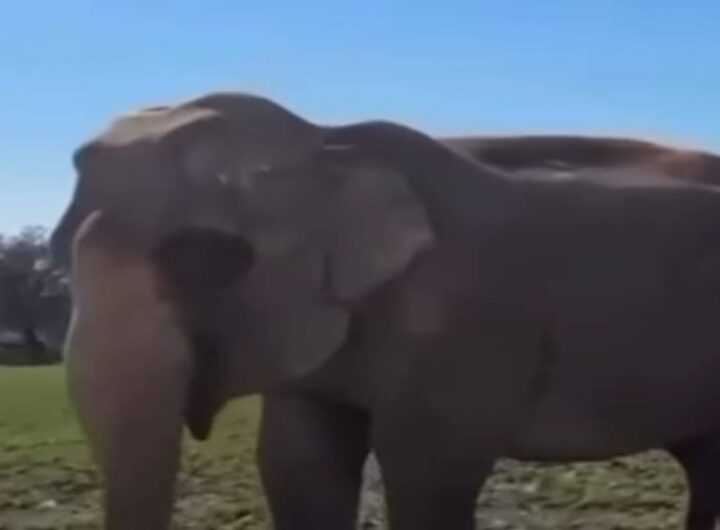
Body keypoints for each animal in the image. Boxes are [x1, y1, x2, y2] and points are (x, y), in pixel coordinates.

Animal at [51, 92, 720, 530]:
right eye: (60, 246)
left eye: (204, 257)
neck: (328, 139)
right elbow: (301, 469)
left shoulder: (463, 315)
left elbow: (429, 476)